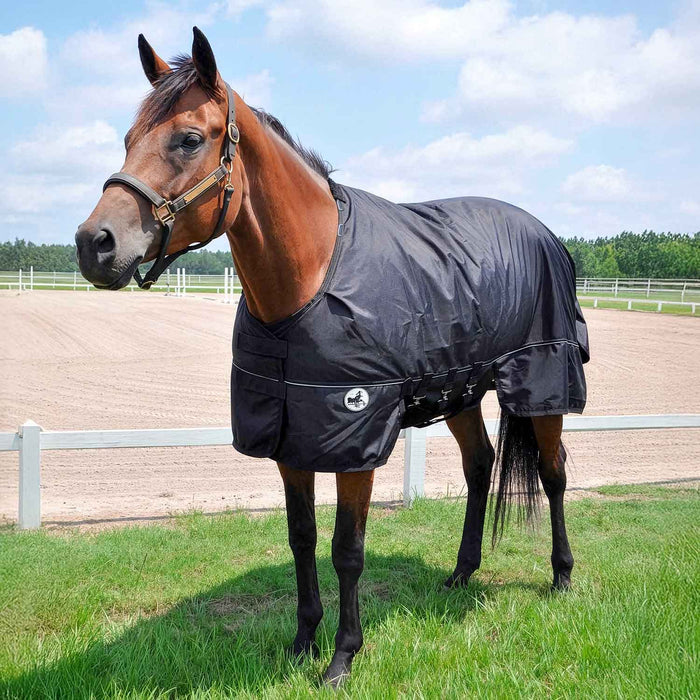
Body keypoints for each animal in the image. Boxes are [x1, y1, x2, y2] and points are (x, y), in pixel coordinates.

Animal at [75, 28, 588, 688]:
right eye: (127, 138)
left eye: (189, 138)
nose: (94, 244)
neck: (311, 277)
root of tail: (544, 232)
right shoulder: (290, 437)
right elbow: (302, 538)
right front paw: (302, 642)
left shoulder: (355, 439)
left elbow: (347, 550)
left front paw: (343, 655)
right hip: (461, 391)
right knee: (480, 467)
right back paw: (460, 573)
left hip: (542, 380)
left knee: (553, 474)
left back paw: (562, 576)